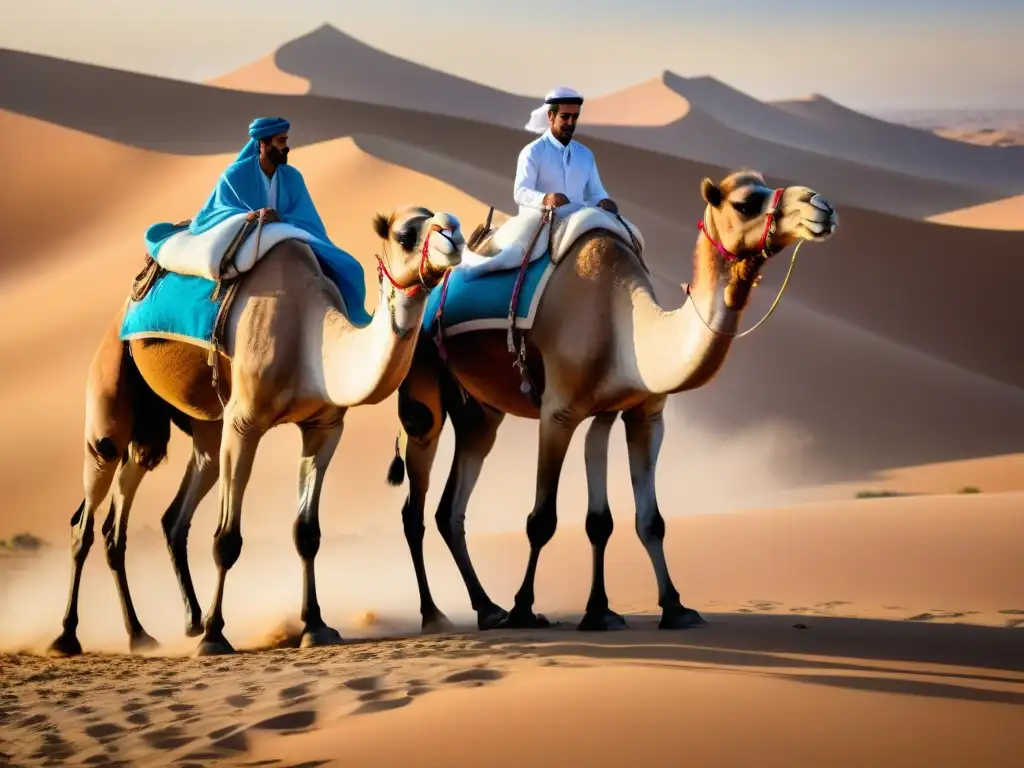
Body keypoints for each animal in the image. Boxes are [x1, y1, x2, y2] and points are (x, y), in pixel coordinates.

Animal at [47, 207, 464, 659]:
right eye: (405, 234)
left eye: (448, 220)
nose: (454, 235)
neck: (309, 336)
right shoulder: (244, 422)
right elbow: (226, 539)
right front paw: (215, 636)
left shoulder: (323, 428)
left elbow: (306, 532)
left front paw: (316, 626)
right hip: (110, 387)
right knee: (86, 517)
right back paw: (68, 636)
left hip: (189, 427)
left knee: (156, 512)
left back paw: (150, 631)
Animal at [385, 171, 839, 634]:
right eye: (746, 203)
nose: (821, 205)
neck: (625, 324)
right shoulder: (558, 413)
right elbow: (541, 520)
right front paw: (525, 609)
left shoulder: (636, 415)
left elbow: (629, 521)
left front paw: (650, 609)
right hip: (423, 390)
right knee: (415, 506)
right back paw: (436, 615)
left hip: (480, 412)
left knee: (450, 508)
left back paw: (487, 608)